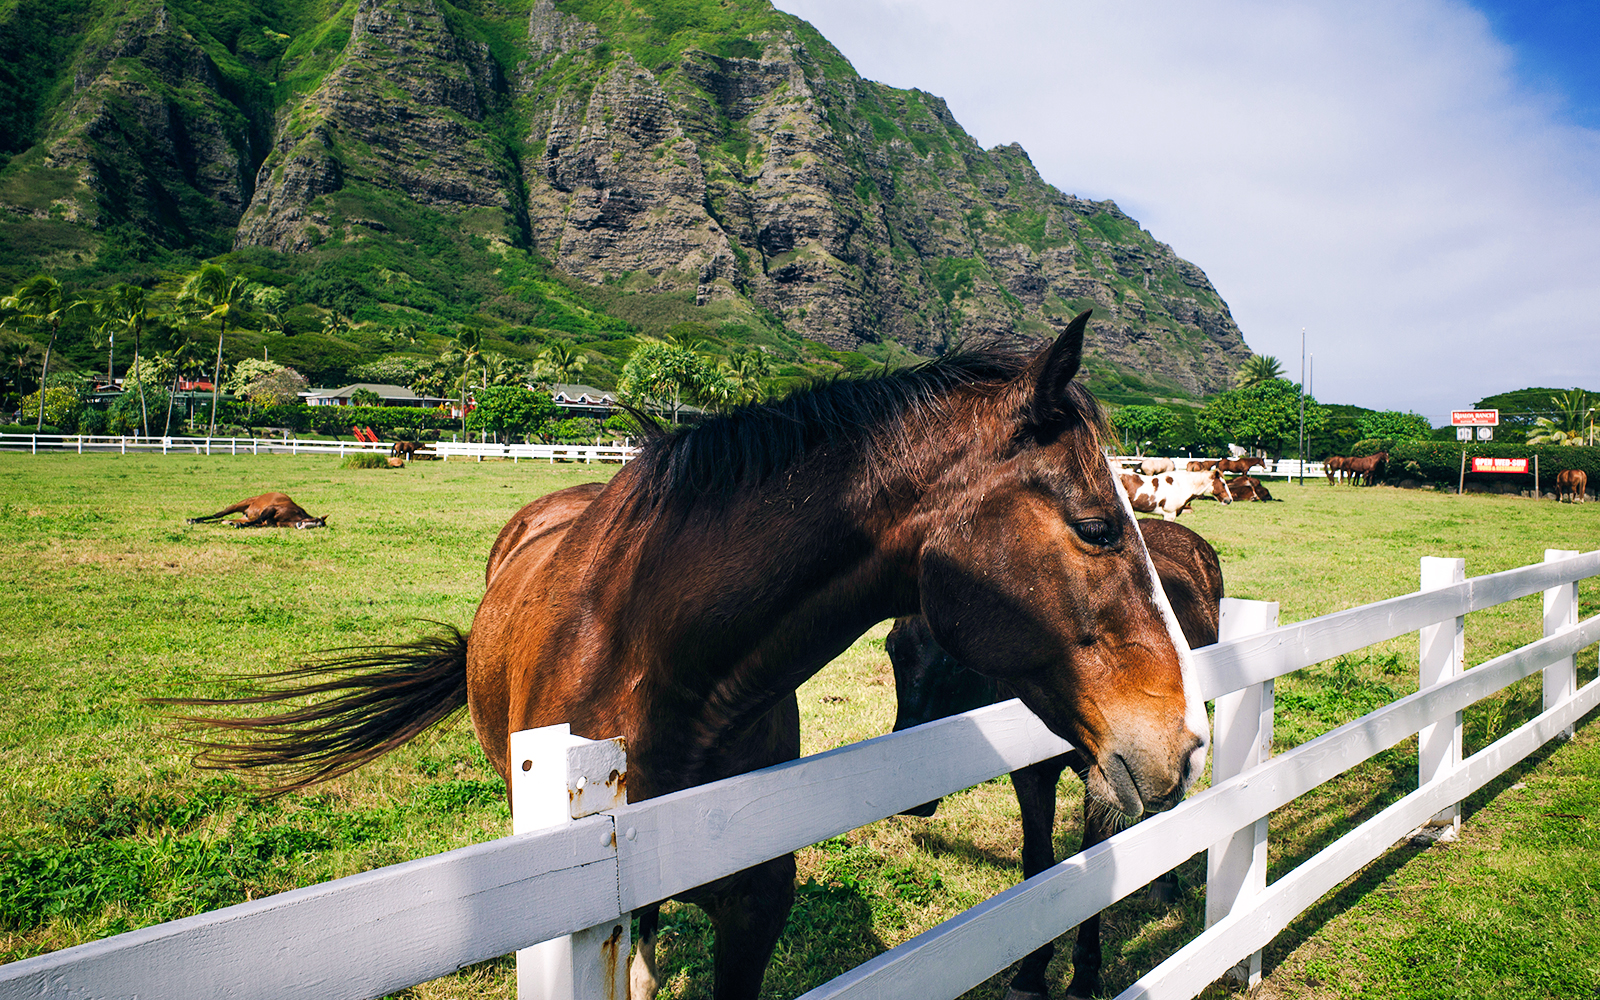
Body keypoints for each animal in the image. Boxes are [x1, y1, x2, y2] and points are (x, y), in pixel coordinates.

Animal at [186, 492, 328, 529]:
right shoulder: (271, 509)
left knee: (221, 519)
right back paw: (193, 520)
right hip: (239, 505)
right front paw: (240, 525)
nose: (300, 526)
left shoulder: (267, 523)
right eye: (315, 521)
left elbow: (257, 524)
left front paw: (240, 525)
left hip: (244, 515)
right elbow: (260, 518)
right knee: (217, 515)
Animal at [888, 519, 1224, 1000]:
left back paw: (1164, 881)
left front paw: (1083, 976)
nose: (915, 799)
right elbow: (1038, 863)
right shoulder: (1030, 776)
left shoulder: (1107, 781)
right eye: (893, 650)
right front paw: (1031, 973)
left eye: (957, 664)